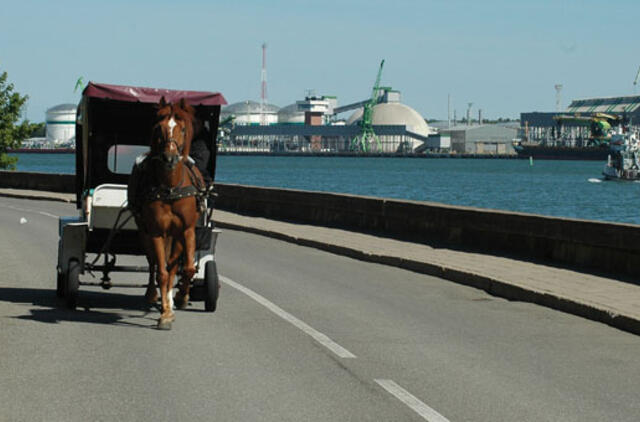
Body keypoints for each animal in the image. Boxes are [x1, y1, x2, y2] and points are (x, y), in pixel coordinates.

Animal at [132, 96, 205, 330]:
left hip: (176, 236)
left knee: (173, 265)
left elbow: (188, 268)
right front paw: (164, 313)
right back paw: (153, 294)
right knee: (154, 264)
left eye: (182, 129)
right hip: (145, 232)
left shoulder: (187, 230)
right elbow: (161, 272)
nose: (170, 158)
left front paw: (181, 297)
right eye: (158, 128)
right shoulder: (155, 231)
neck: (171, 187)